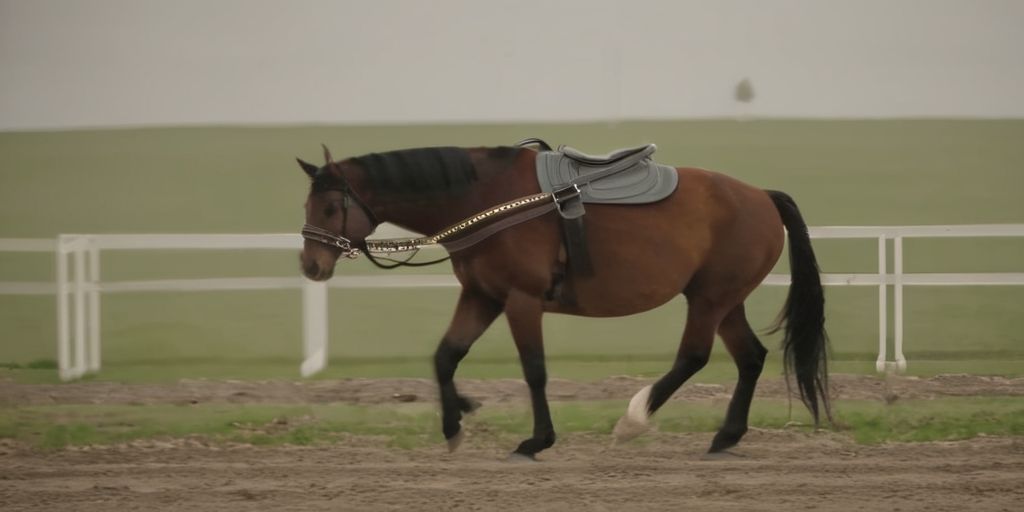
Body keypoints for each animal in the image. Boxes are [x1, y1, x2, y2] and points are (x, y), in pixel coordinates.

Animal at [297, 142, 830, 460]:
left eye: (330, 206)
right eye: (307, 204)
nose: (310, 265)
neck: (486, 199)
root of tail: (761, 196)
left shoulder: (521, 301)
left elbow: (534, 370)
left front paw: (536, 439)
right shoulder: (482, 297)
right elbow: (446, 356)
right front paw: (455, 421)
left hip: (709, 299)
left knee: (694, 357)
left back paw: (633, 420)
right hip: (723, 301)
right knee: (750, 358)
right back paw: (725, 436)